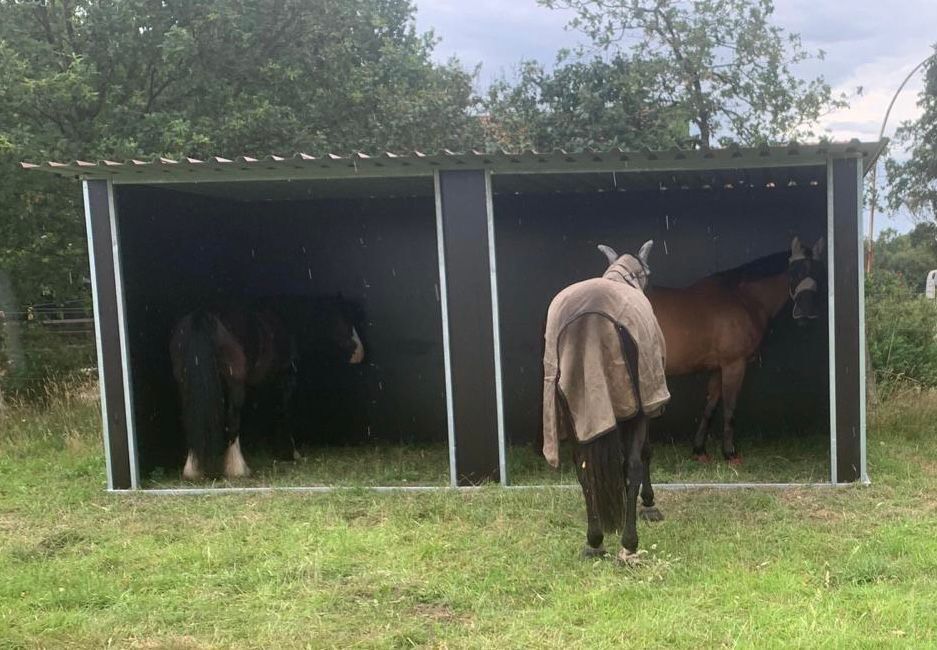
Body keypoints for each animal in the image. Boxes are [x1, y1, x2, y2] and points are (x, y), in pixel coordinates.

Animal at [170, 296, 364, 478]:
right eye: (343, 316)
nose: (359, 352)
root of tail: (203, 316)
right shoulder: (286, 378)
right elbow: (283, 412)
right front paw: (291, 453)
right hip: (235, 385)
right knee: (233, 419)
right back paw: (237, 469)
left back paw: (194, 469)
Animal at [540, 238, 672, 560]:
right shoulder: (646, 403)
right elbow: (642, 455)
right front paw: (649, 503)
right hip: (633, 409)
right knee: (633, 465)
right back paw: (629, 543)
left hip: (573, 411)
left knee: (582, 469)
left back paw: (595, 540)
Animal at [648, 237, 824, 460]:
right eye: (793, 272)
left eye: (820, 272)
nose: (805, 312)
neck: (743, 297)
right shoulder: (735, 365)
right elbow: (730, 409)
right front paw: (729, 453)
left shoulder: (718, 368)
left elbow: (710, 408)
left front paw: (699, 450)